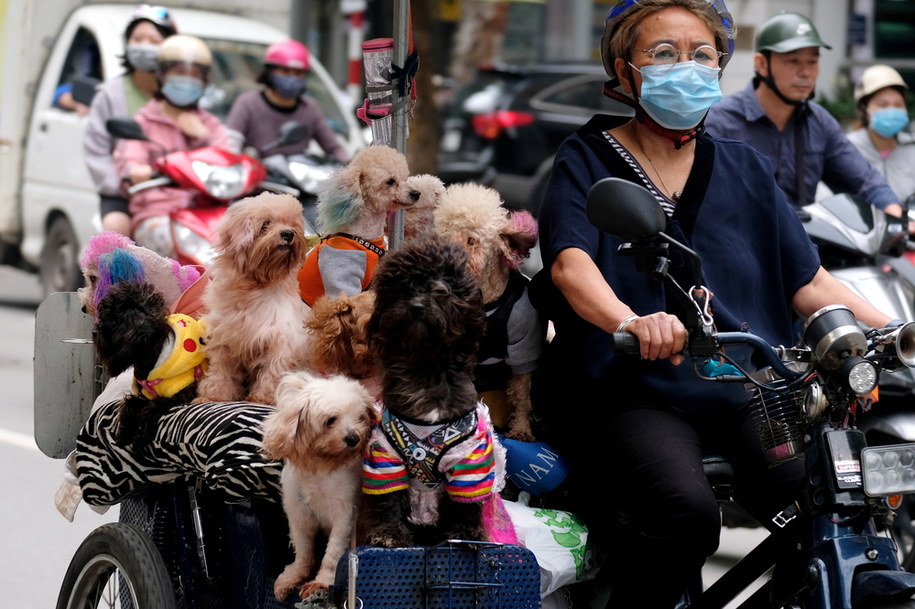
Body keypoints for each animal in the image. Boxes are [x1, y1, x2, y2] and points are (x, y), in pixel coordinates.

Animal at [195, 194, 314, 404]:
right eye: (265, 224)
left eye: (293, 225)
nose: (288, 234)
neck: (257, 287)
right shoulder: (224, 338)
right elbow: (221, 370)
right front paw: (213, 395)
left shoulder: (282, 339)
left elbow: (273, 370)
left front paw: (263, 398)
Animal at [262, 370, 376, 600]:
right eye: (330, 420)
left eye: (360, 417)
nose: (354, 438)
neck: (320, 468)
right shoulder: (299, 516)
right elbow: (303, 551)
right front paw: (294, 575)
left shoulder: (345, 516)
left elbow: (332, 554)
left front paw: (322, 582)